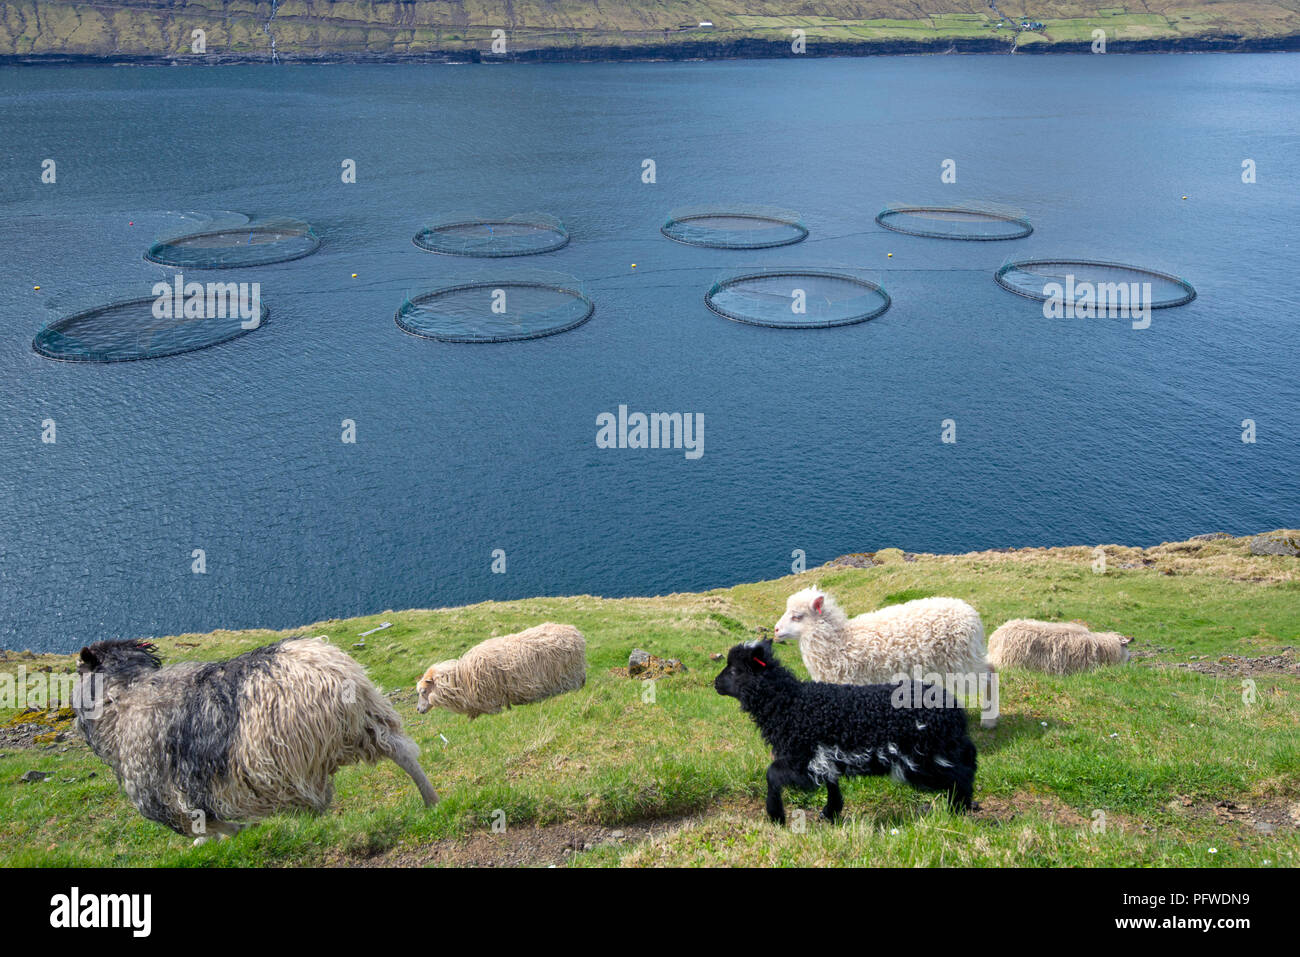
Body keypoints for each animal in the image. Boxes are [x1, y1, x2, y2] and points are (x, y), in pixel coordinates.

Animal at [416, 621, 585, 717]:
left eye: (423, 691)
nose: (418, 710)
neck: (462, 678)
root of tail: (574, 631)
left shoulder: (492, 703)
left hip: (570, 677)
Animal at [717, 634, 977, 821]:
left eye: (735, 670)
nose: (715, 683)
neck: (789, 704)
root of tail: (955, 709)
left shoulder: (802, 759)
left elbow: (771, 774)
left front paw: (776, 816)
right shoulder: (824, 758)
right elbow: (832, 785)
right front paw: (830, 813)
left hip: (924, 757)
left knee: (961, 773)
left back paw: (958, 809)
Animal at [769, 582, 993, 733]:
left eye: (797, 616)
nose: (776, 630)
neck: (838, 642)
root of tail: (973, 616)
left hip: (960, 661)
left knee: (990, 675)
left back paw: (989, 720)